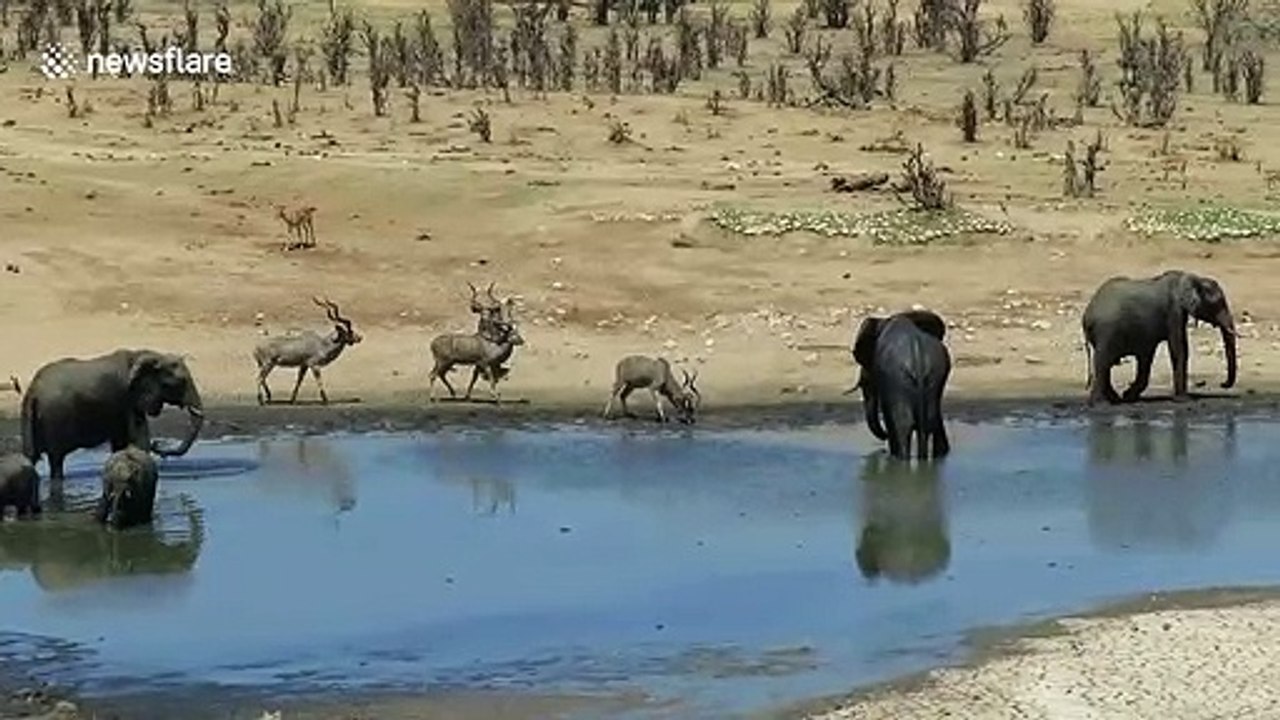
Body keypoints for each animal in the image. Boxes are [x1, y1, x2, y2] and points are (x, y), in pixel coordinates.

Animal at [21, 349, 205, 496]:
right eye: (181, 382)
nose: (159, 446)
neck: (149, 354)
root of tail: (33, 391)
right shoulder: (128, 398)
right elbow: (140, 441)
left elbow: (121, 445)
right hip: (54, 419)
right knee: (56, 460)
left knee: (31, 457)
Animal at [852, 309, 951, 460]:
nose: (884, 436)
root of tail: (917, 354)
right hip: (934, 377)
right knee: (932, 424)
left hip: (898, 382)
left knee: (902, 430)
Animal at [1081, 270, 1238, 404]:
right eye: (1219, 303)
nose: (1223, 384)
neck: (1193, 278)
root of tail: (1086, 315)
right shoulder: (1174, 312)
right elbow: (1179, 349)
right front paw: (1184, 400)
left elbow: (1147, 357)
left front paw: (1128, 396)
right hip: (1106, 330)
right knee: (1103, 361)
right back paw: (1102, 403)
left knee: (1106, 363)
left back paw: (1115, 399)